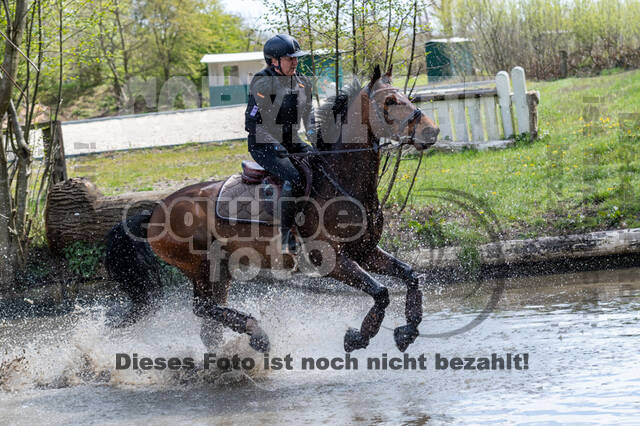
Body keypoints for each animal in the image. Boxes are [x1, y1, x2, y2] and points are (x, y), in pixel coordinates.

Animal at [106, 65, 440, 354]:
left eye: (407, 97)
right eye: (390, 101)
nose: (432, 131)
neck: (340, 182)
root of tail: (154, 213)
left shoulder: (365, 252)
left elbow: (411, 276)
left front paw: (407, 331)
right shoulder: (330, 259)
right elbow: (381, 292)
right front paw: (358, 337)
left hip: (219, 270)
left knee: (209, 321)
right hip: (198, 266)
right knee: (202, 308)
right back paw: (257, 335)